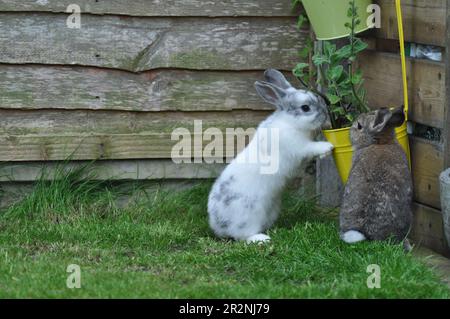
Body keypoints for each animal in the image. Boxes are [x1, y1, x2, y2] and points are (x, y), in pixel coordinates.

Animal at [208, 69, 334, 245]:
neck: (290, 122)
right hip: (248, 217)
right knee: (242, 235)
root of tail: (218, 224)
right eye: (305, 107)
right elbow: (311, 147)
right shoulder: (298, 146)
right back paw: (262, 238)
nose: (325, 115)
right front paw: (328, 147)